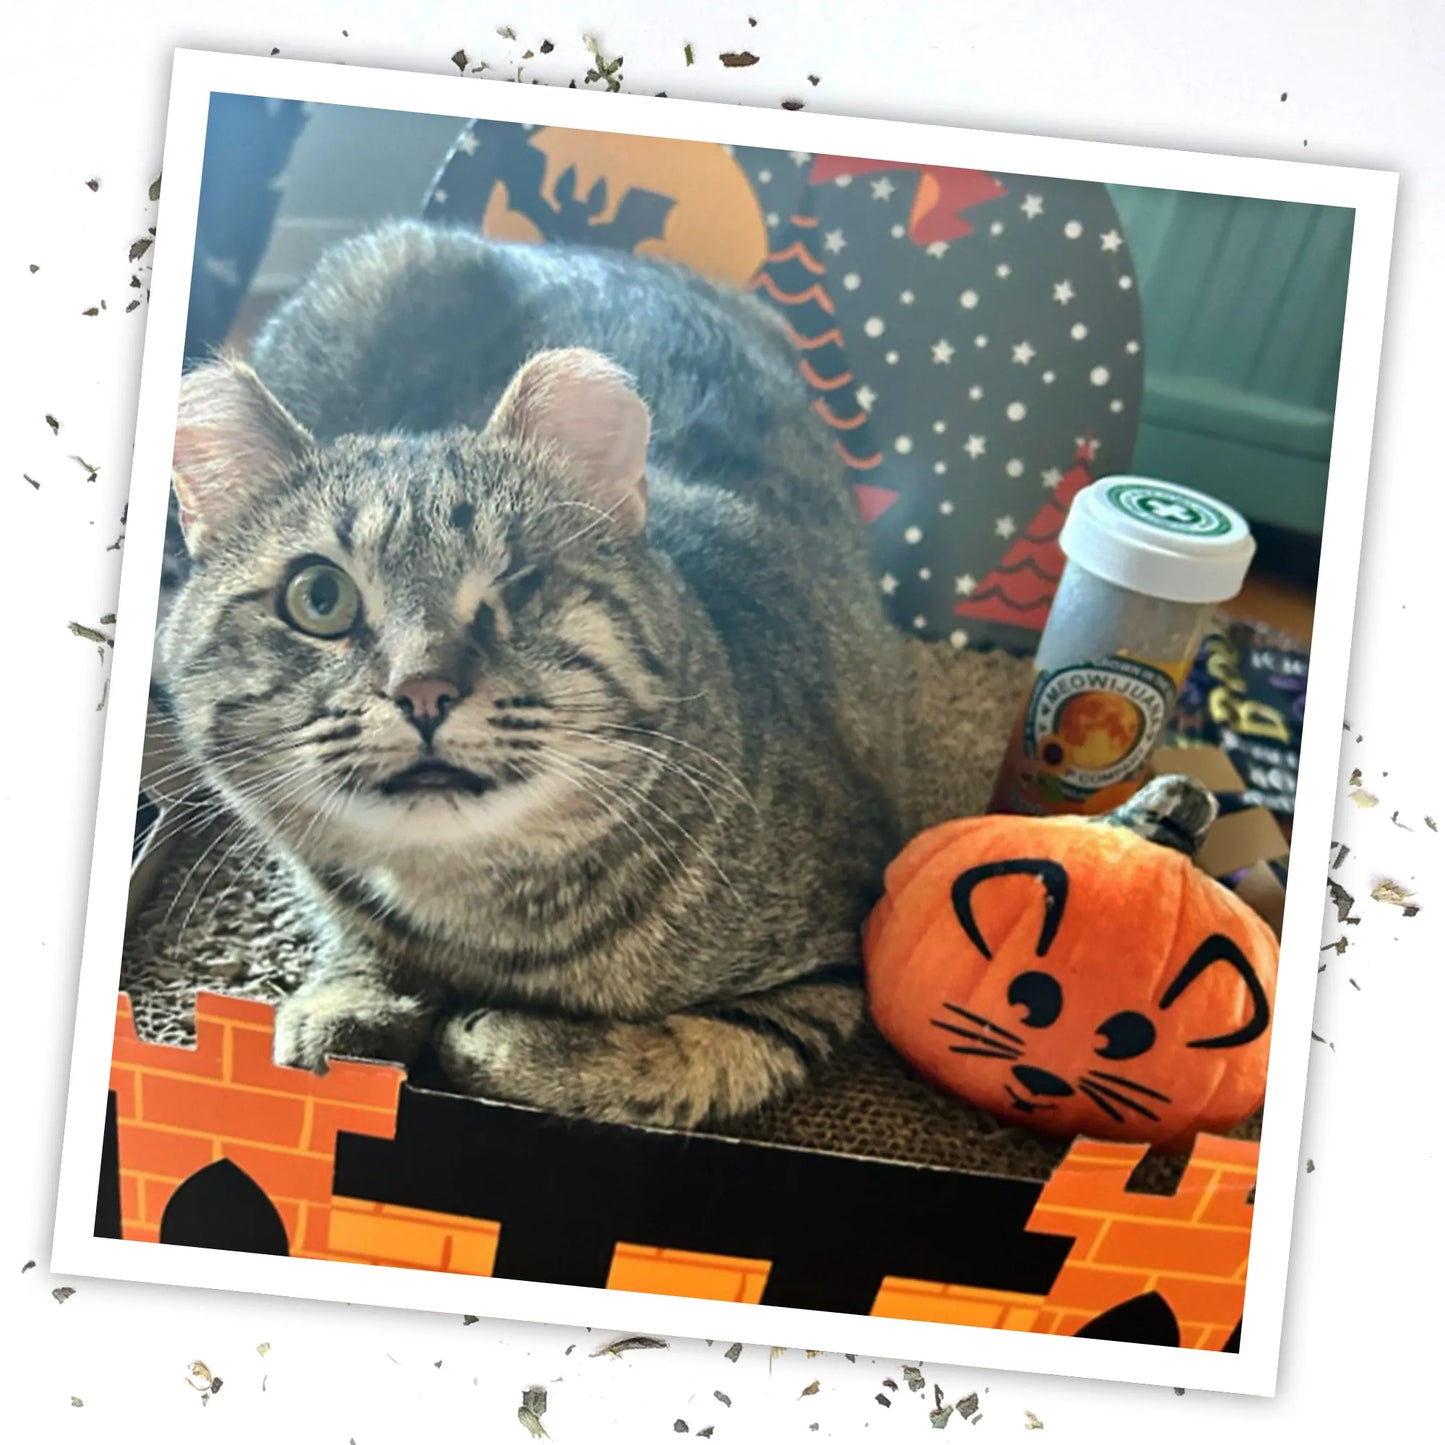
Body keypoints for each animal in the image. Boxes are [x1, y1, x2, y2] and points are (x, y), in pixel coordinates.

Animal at [155, 222, 913, 1127]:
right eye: (320, 597)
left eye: (517, 587)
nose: (421, 688)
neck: (467, 915)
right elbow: (350, 943)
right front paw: (347, 1003)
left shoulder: (822, 970)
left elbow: (671, 1056)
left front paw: (487, 1035)